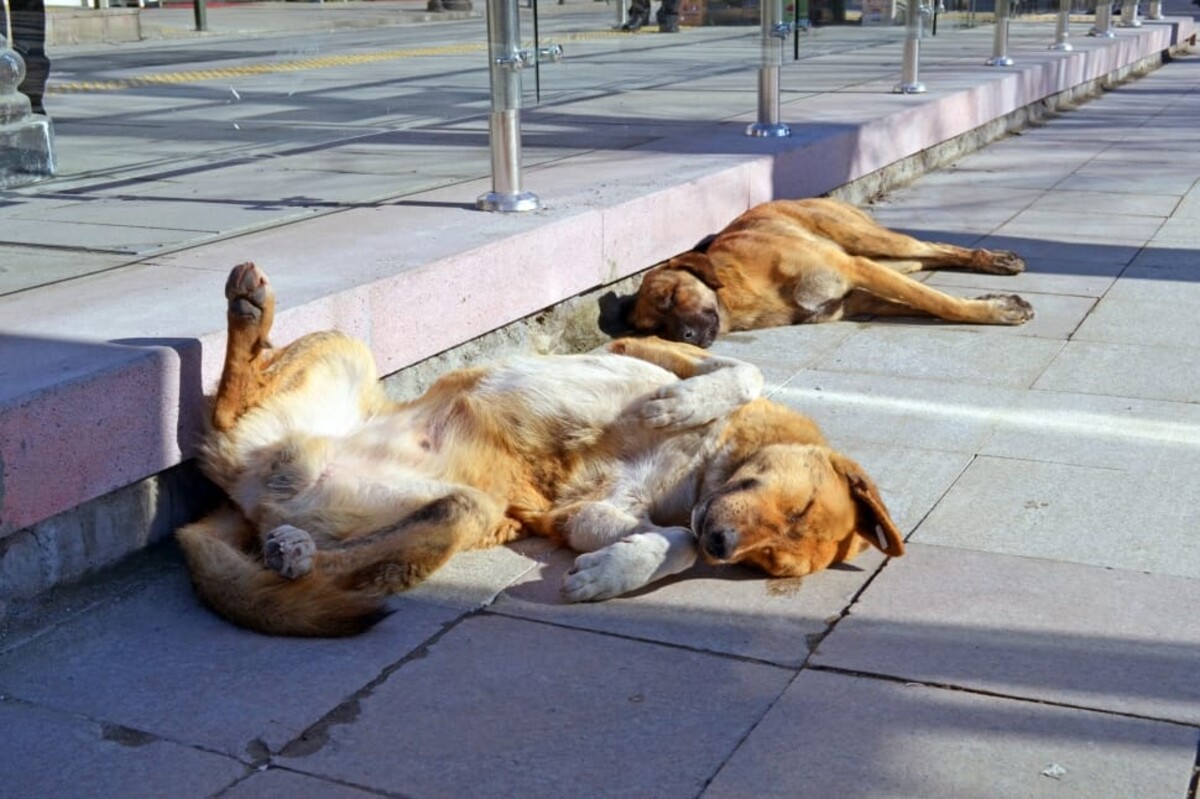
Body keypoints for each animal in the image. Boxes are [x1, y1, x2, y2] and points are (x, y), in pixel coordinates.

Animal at [177, 261, 902, 633]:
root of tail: (237, 501)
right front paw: (680, 404)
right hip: (345, 348)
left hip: (461, 512)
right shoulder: (643, 349)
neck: (702, 471)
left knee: (343, 560)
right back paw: (248, 312)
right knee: (230, 398)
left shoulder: (579, 515)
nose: (726, 546)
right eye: (798, 507)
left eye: (767, 564)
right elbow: (740, 371)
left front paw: (613, 571)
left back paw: (292, 551)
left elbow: (676, 539)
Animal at [628, 196, 1032, 345]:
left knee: (934, 247)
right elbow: (924, 303)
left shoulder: (854, 270)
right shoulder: (855, 300)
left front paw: (994, 310)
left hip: (865, 241)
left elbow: (940, 303)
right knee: (925, 259)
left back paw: (994, 260)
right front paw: (995, 303)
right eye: (654, 330)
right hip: (884, 258)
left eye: (670, 296)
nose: (685, 337)